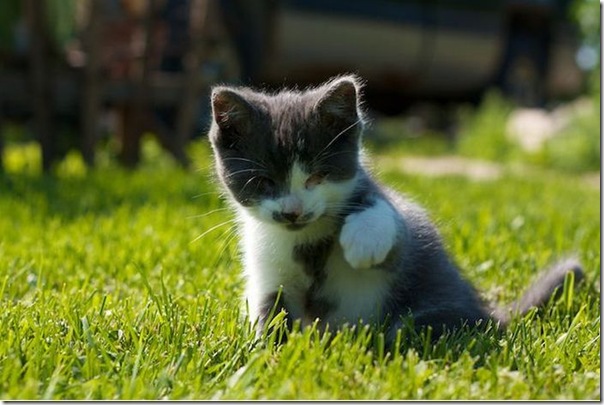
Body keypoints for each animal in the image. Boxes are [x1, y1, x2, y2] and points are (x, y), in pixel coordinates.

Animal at [206, 73, 580, 340]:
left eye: (317, 175)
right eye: (264, 182)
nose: (292, 211)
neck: (304, 240)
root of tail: (489, 315)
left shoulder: (404, 236)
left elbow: (393, 218)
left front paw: (363, 242)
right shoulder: (268, 273)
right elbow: (272, 314)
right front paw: (267, 357)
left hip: (433, 312)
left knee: (410, 330)